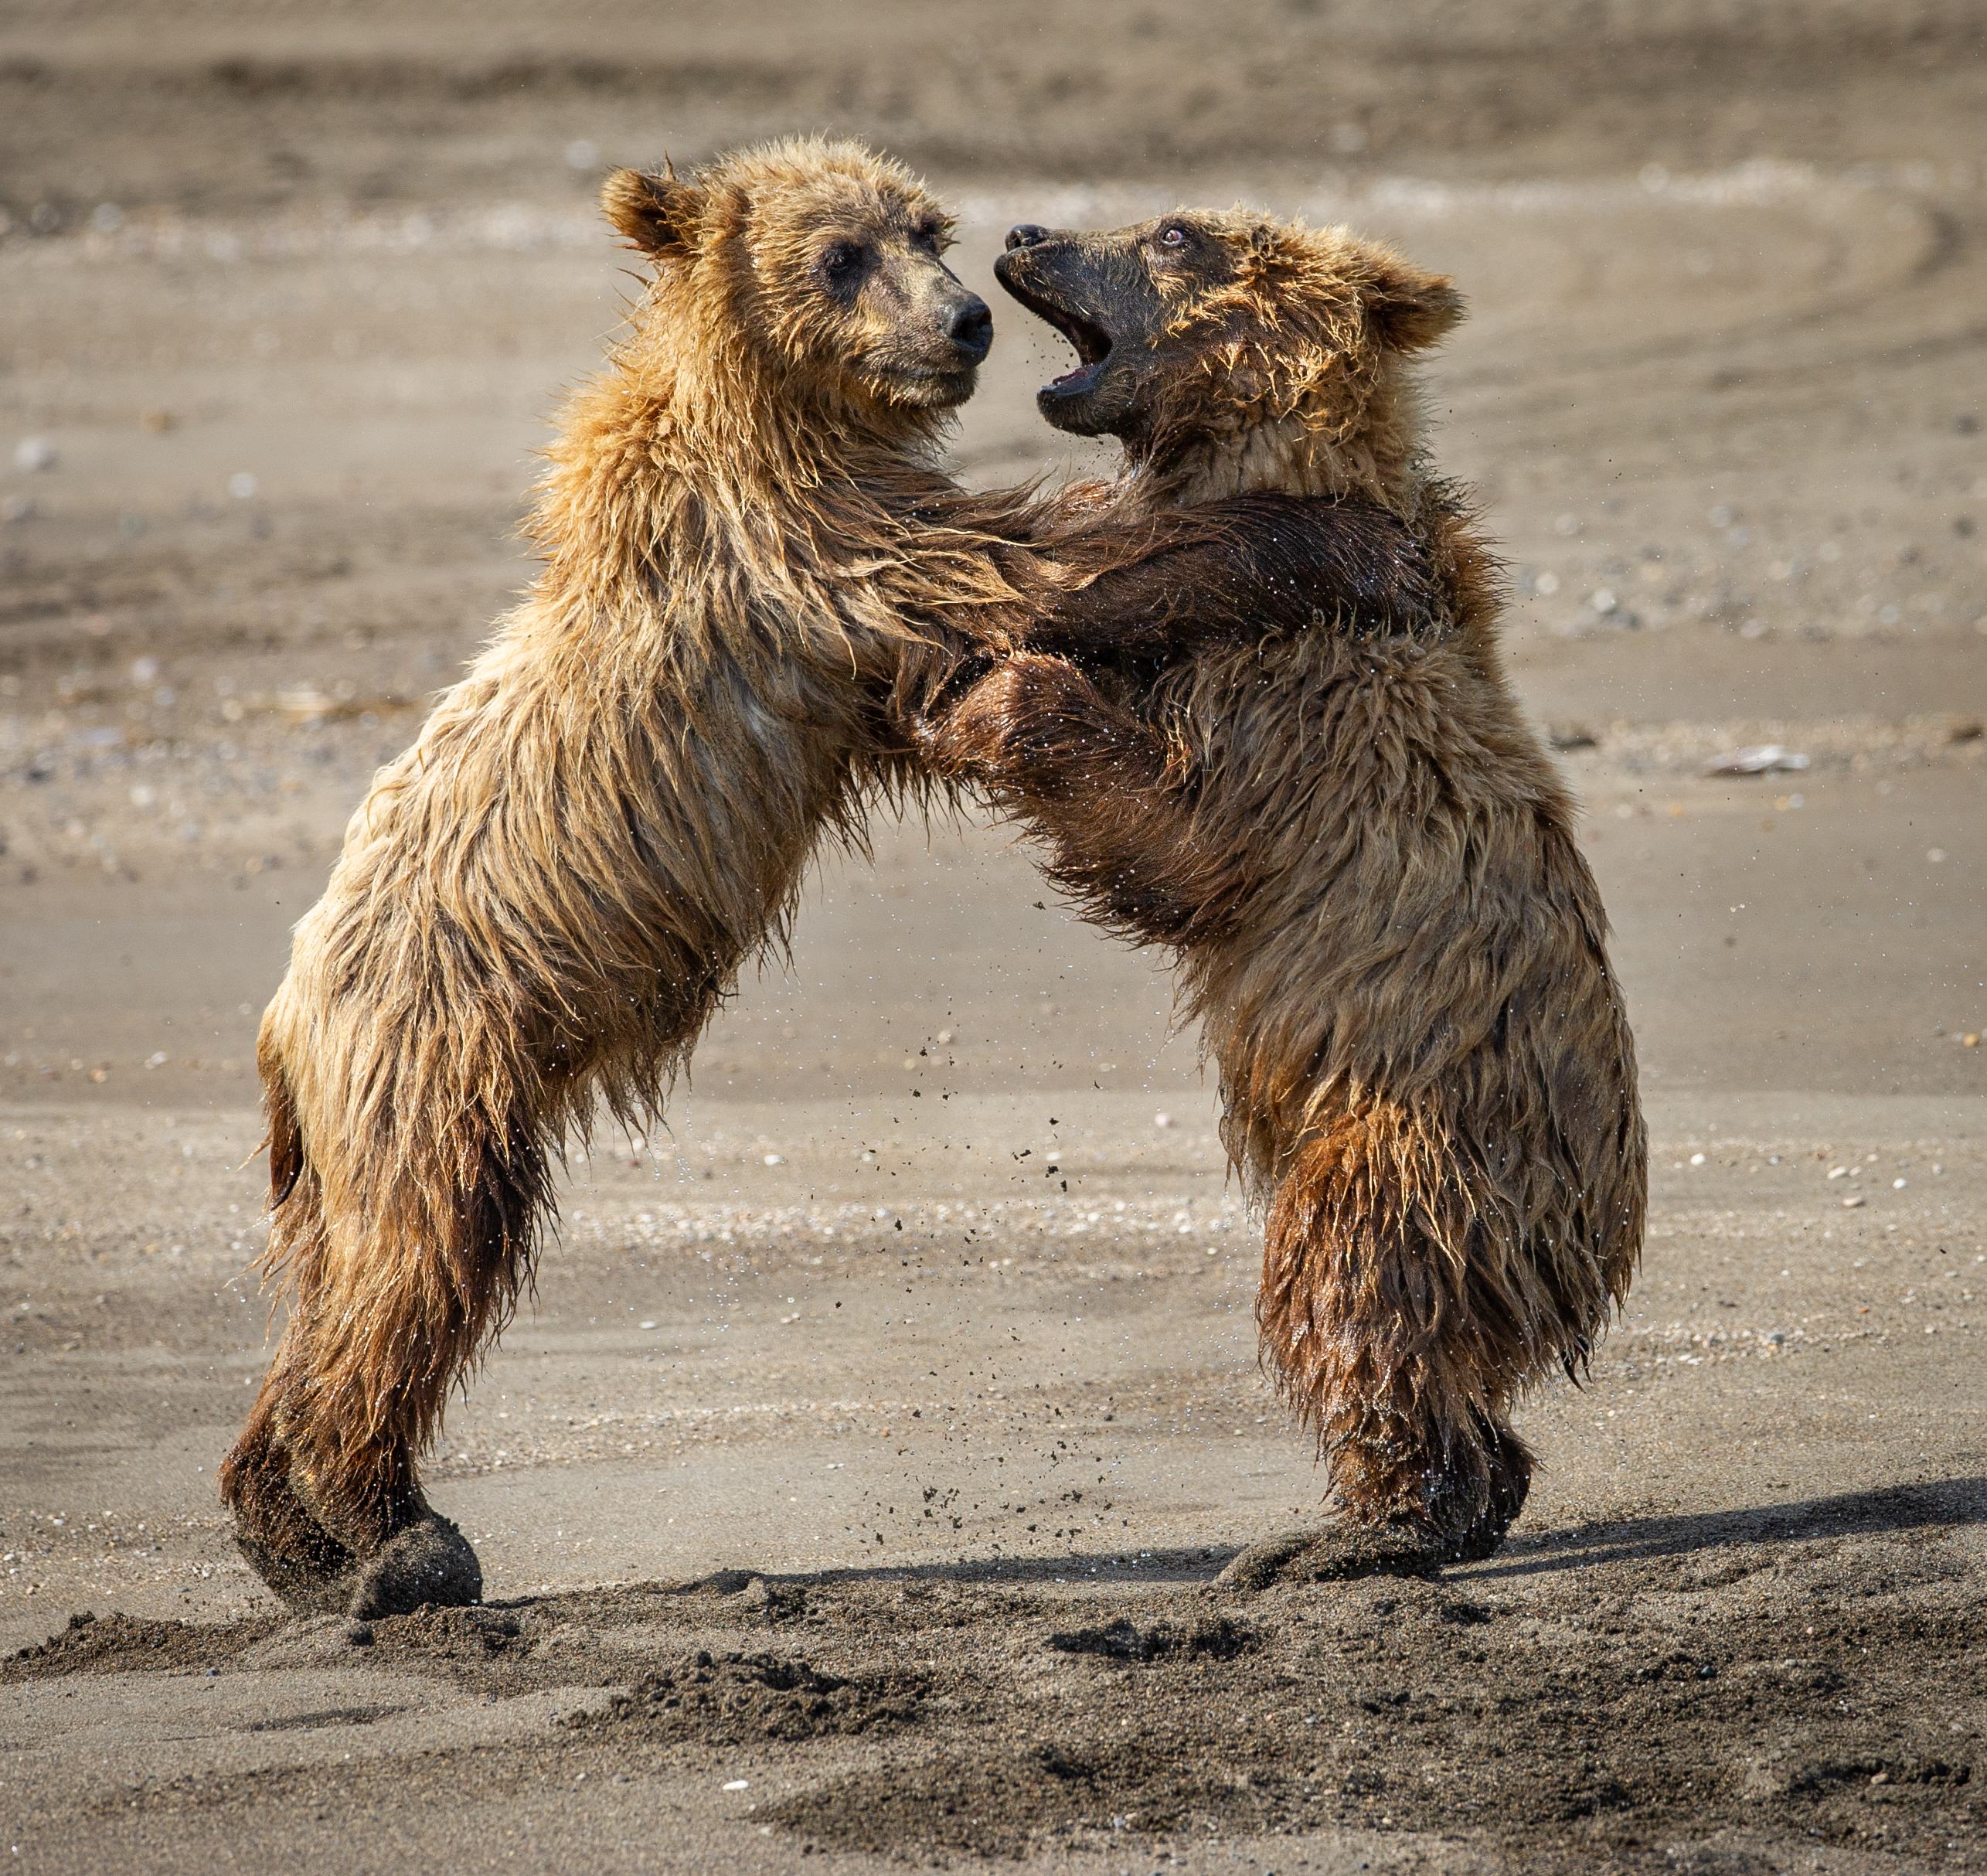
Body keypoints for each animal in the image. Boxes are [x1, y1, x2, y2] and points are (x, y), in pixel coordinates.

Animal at [220, 139, 1435, 1618]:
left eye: (927, 228)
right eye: (840, 255)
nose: (963, 321)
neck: (774, 409)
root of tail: (285, 1014)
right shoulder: (798, 546)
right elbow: (1038, 562)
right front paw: (1356, 541)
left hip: (351, 1117)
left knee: (341, 1275)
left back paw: (284, 1524)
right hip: (434, 1043)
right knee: (424, 1255)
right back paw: (396, 1532)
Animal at [919, 208, 1647, 1584]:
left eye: (1173, 233)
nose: (1028, 231)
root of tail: (1591, 1248)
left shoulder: (1304, 723)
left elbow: (1177, 843)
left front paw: (994, 691)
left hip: (1420, 1139)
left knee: (1346, 1281)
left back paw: (1345, 1534)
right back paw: (1467, 1491)